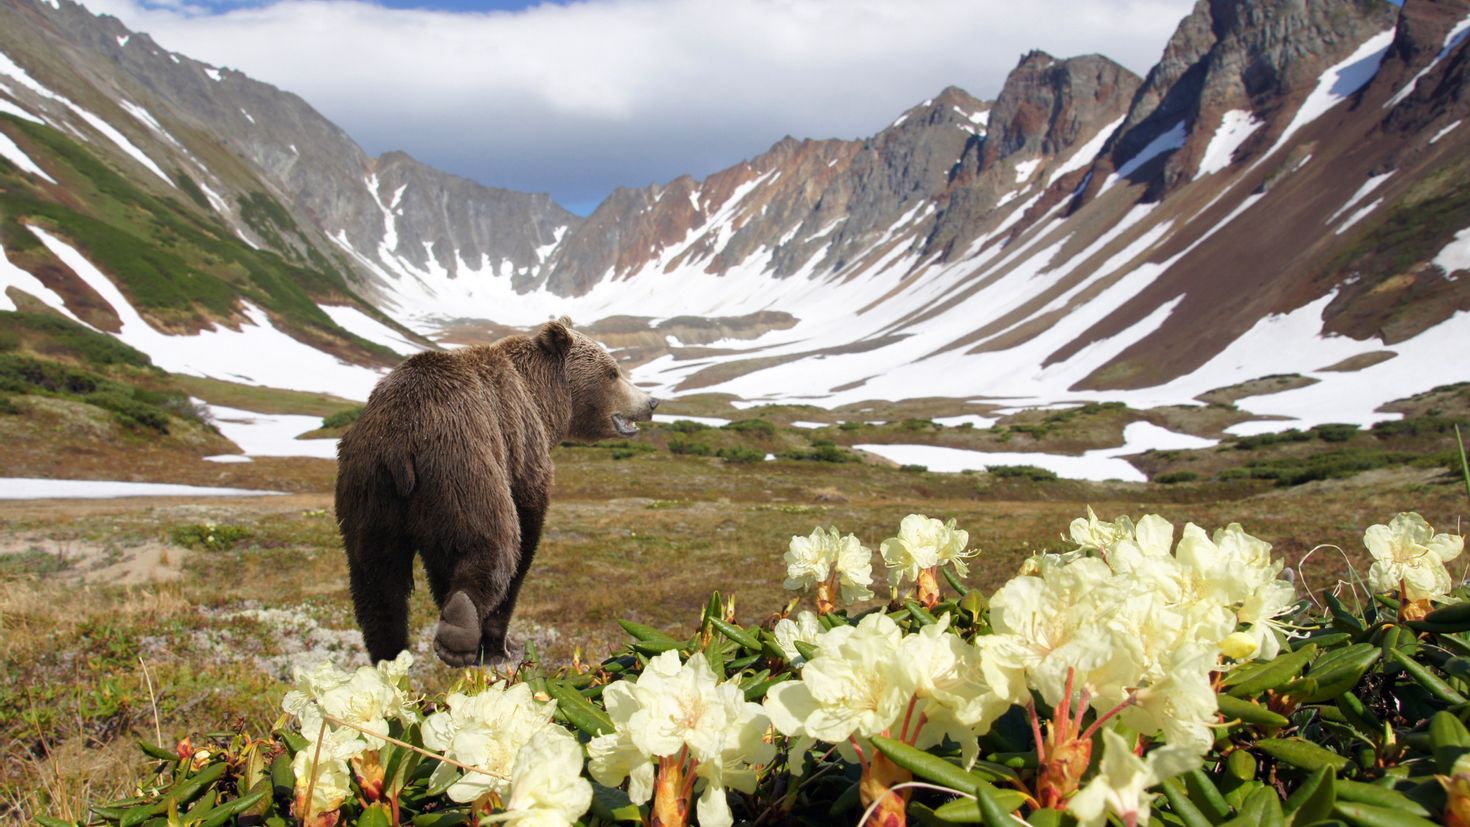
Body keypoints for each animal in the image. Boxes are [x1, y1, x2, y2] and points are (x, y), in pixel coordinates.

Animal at [336, 315, 658, 666]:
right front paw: (501, 644)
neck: (546, 401)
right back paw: (460, 631)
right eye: (613, 372)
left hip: (368, 491)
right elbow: (526, 527)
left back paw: (390, 654)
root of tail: (400, 438)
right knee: (491, 540)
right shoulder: (523, 448)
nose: (651, 402)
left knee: (377, 581)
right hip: (464, 464)